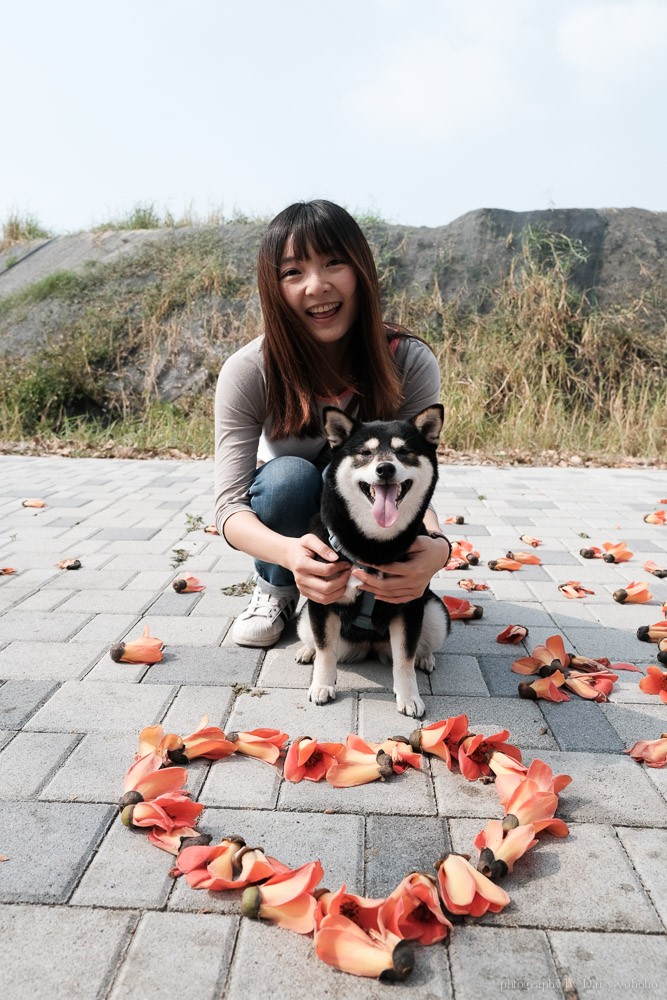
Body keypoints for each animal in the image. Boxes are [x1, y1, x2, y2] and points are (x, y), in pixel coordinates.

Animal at [300, 402, 452, 716]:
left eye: (404, 451)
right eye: (365, 453)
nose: (385, 468)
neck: (373, 547)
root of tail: (369, 648)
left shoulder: (409, 605)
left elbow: (404, 658)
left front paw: (409, 697)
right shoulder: (321, 599)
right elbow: (325, 649)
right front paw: (322, 685)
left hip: (436, 612)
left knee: (420, 647)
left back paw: (425, 657)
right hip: (305, 617)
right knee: (316, 642)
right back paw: (306, 651)